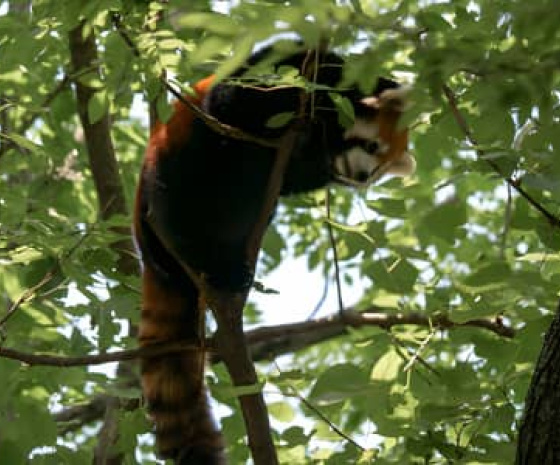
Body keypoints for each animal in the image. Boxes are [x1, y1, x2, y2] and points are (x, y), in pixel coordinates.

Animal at [133, 42, 414, 460]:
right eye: (372, 145)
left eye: (379, 171)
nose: (361, 178)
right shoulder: (281, 67)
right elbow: (233, 101)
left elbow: (298, 174)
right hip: (168, 177)